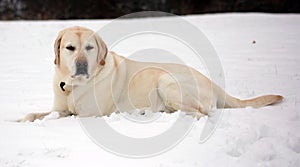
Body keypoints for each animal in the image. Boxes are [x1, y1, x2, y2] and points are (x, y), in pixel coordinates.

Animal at [19, 26, 282, 122]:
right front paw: (21, 120)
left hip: (167, 80)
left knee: (202, 113)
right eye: (70, 48)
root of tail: (212, 82)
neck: (73, 86)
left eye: (90, 48)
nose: (82, 64)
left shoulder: (87, 115)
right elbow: (34, 114)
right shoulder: (59, 108)